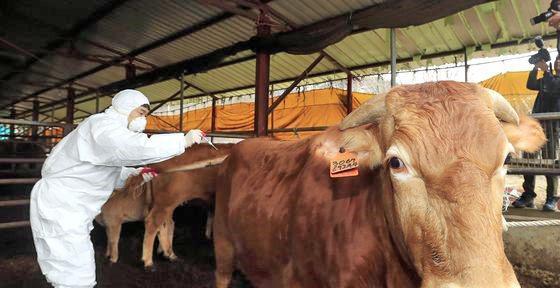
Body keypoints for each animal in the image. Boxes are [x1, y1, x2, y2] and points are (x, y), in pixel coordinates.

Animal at [95, 143, 233, 268]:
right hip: (166, 202)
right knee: (154, 223)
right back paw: (150, 260)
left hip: (166, 204)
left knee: (165, 224)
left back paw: (166, 253)